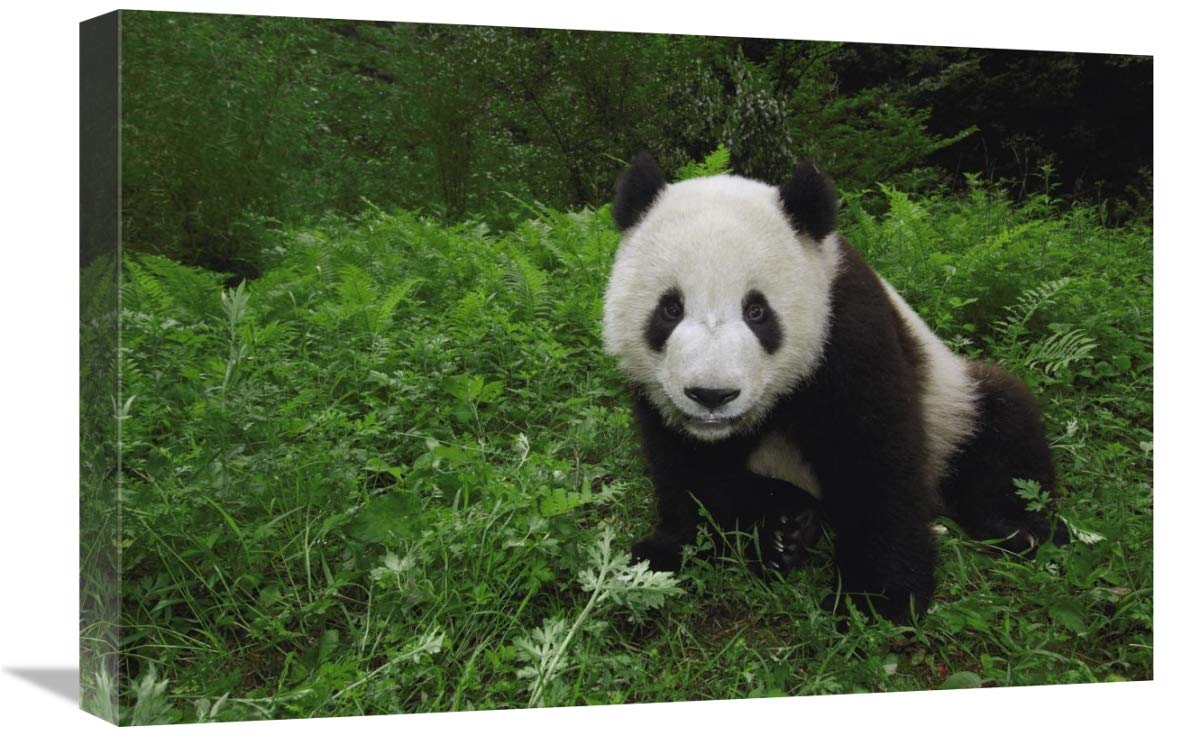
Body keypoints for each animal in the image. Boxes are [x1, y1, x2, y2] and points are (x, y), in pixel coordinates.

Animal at [602, 152, 1062, 623]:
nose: (712, 395)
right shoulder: (660, 400)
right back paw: (786, 531)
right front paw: (665, 554)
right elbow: (689, 472)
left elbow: (876, 462)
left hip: (952, 403)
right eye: (670, 309)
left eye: (757, 312)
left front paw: (877, 599)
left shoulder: (845, 327)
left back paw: (1016, 528)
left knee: (1004, 420)